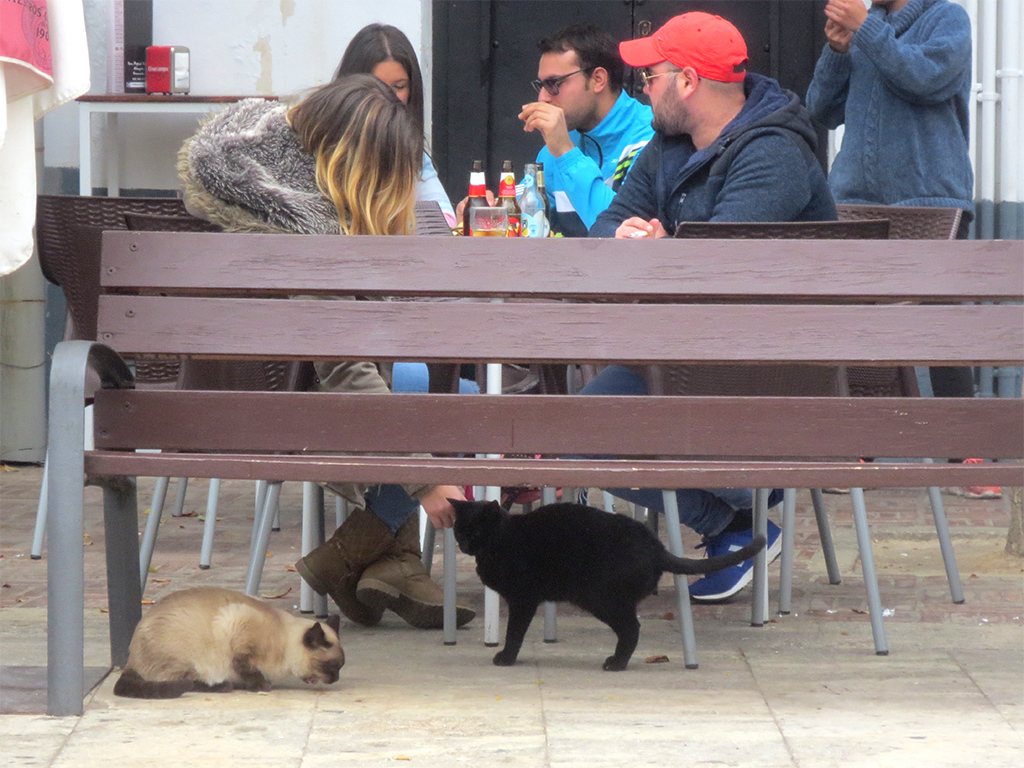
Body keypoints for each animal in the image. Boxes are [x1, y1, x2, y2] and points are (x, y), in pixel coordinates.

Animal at [114, 585, 342, 700]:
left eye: (340, 667)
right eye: (331, 666)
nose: (336, 679)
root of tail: (130, 660)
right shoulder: (237, 627)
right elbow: (247, 668)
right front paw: (262, 685)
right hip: (189, 660)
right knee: (189, 682)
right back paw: (223, 685)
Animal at [452, 499, 765, 671]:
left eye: (476, 532)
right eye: (459, 529)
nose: (464, 544)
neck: (502, 538)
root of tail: (657, 548)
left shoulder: (522, 599)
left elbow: (514, 632)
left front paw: (506, 657)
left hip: (601, 599)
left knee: (632, 628)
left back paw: (616, 663)